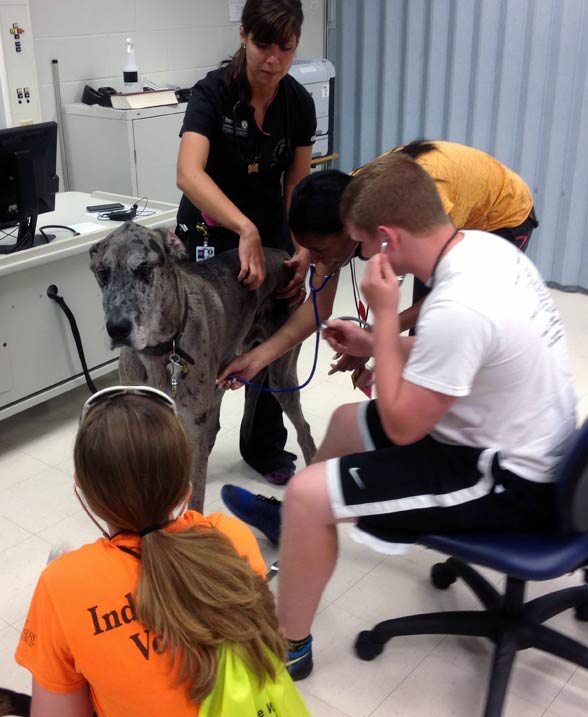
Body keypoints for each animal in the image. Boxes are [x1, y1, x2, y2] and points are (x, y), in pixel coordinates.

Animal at [89, 221, 314, 512]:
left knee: (303, 430)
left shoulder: (193, 424)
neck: (161, 350)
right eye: (102, 273)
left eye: (145, 269)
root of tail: (283, 254)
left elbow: (195, 494)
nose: (117, 329)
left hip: (281, 373)